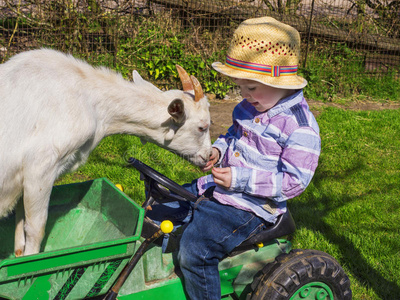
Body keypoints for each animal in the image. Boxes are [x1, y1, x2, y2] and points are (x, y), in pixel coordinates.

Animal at [0, 48, 212, 255]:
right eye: (202, 127)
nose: (209, 157)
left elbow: (20, 218)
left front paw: (18, 252)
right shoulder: (40, 166)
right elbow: (36, 228)